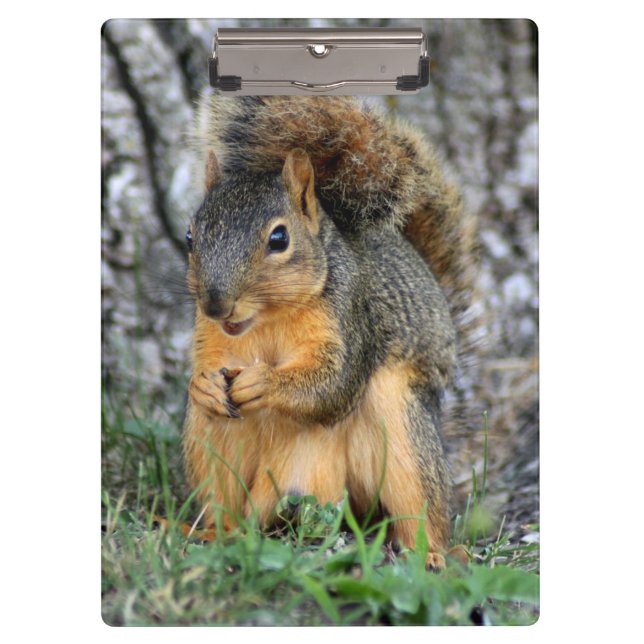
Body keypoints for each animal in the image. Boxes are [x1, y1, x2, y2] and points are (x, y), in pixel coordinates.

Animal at [181, 94, 478, 568]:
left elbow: (333, 386)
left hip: (399, 427)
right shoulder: (212, 339)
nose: (215, 304)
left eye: (279, 239)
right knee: (227, 504)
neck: (268, 319)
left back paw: (433, 554)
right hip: (210, 445)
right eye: (191, 235)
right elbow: (205, 370)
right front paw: (202, 385)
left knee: (420, 503)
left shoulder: (353, 317)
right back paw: (217, 534)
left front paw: (266, 383)